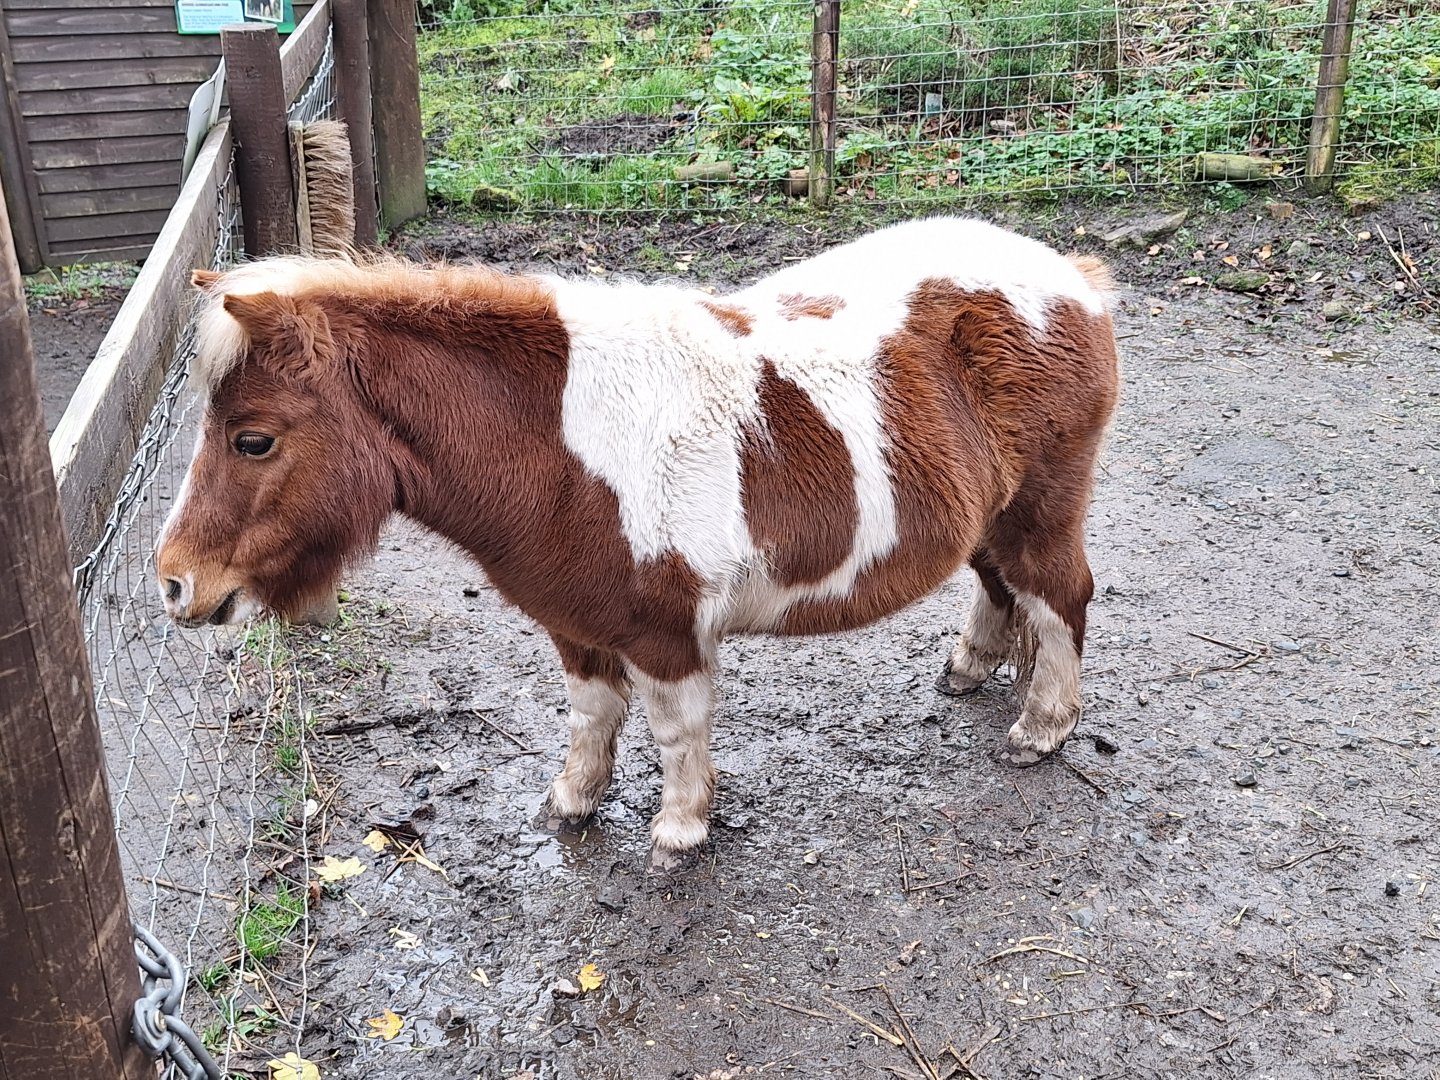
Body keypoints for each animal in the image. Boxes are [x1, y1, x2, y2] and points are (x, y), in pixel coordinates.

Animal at [155, 216, 1120, 866]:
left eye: (253, 439)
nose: (173, 584)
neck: (562, 445)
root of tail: (1070, 277)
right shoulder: (575, 622)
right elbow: (592, 715)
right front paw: (572, 803)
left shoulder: (666, 632)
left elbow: (674, 729)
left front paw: (679, 830)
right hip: (991, 516)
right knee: (1000, 589)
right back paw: (970, 671)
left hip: (1042, 508)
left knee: (1059, 598)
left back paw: (1041, 731)